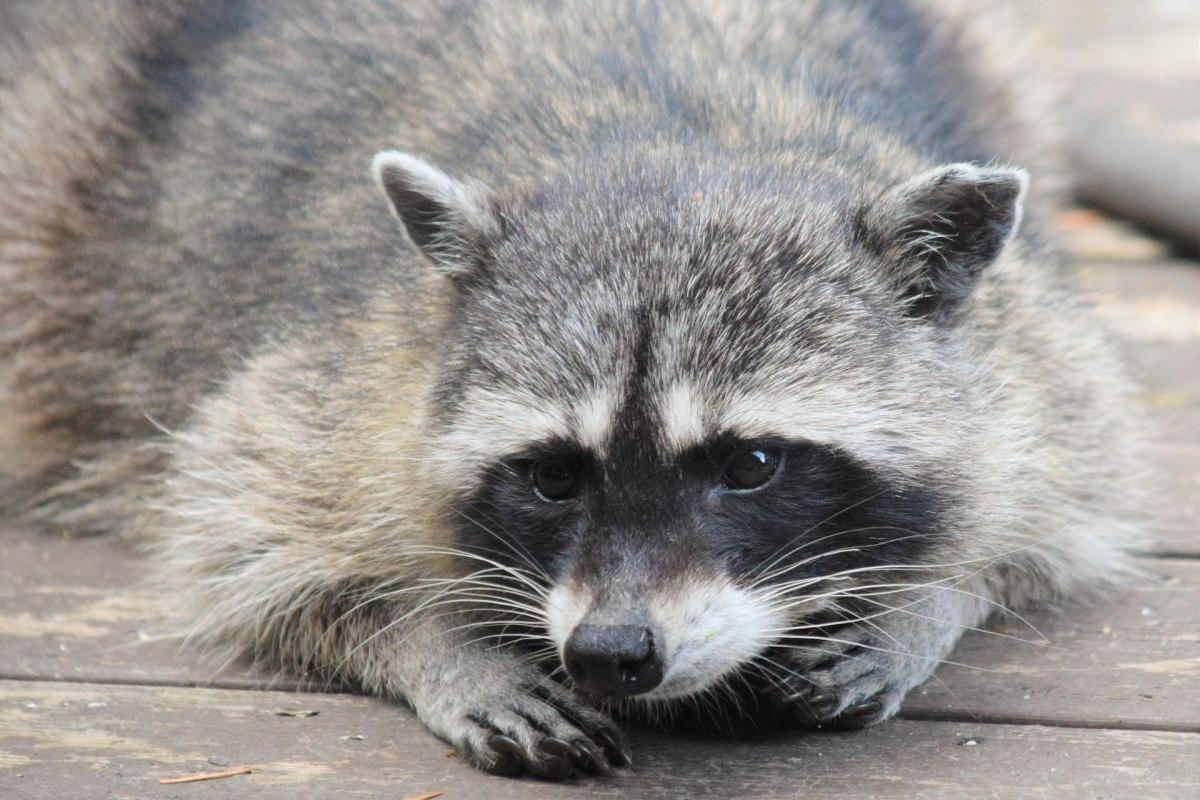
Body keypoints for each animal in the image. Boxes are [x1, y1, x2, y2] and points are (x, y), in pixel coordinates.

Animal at [2, 0, 1142, 777]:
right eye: (553, 474)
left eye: (751, 464)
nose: (611, 650)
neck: (676, 146)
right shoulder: (345, 377)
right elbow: (238, 530)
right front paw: (431, 639)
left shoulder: (1028, 346)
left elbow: (1068, 482)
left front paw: (930, 597)